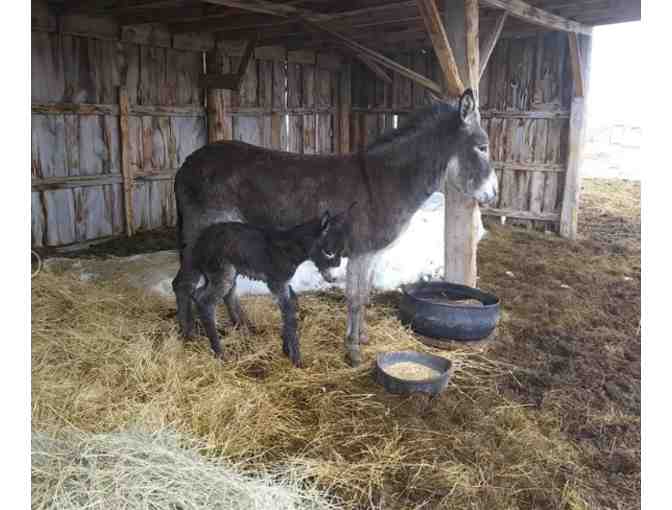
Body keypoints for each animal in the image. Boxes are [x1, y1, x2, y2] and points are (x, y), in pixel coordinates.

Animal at [189, 210, 346, 366]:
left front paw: (286, 349)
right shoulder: (277, 282)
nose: (333, 279)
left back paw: (241, 328)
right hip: (222, 272)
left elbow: (291, 305)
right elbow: (289, 313)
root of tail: (200, 242)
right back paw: (220, 353)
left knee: (204, 295)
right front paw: (296, 359)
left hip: (222, 274)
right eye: (329, 252)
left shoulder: (284, 284)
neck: (290, 248)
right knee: (206, 302)